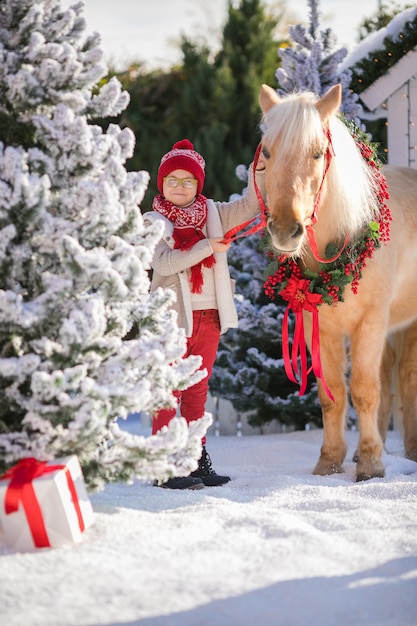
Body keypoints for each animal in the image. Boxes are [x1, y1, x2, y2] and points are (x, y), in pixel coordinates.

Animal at [258, 83, 416, 480]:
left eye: (317, 154)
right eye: (266, 151)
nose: (285, 229)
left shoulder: (371, 322)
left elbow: (364, 390)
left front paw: (372, 465)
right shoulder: (320, 327)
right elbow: (332, 395)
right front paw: (331, 461)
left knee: (405, 378)